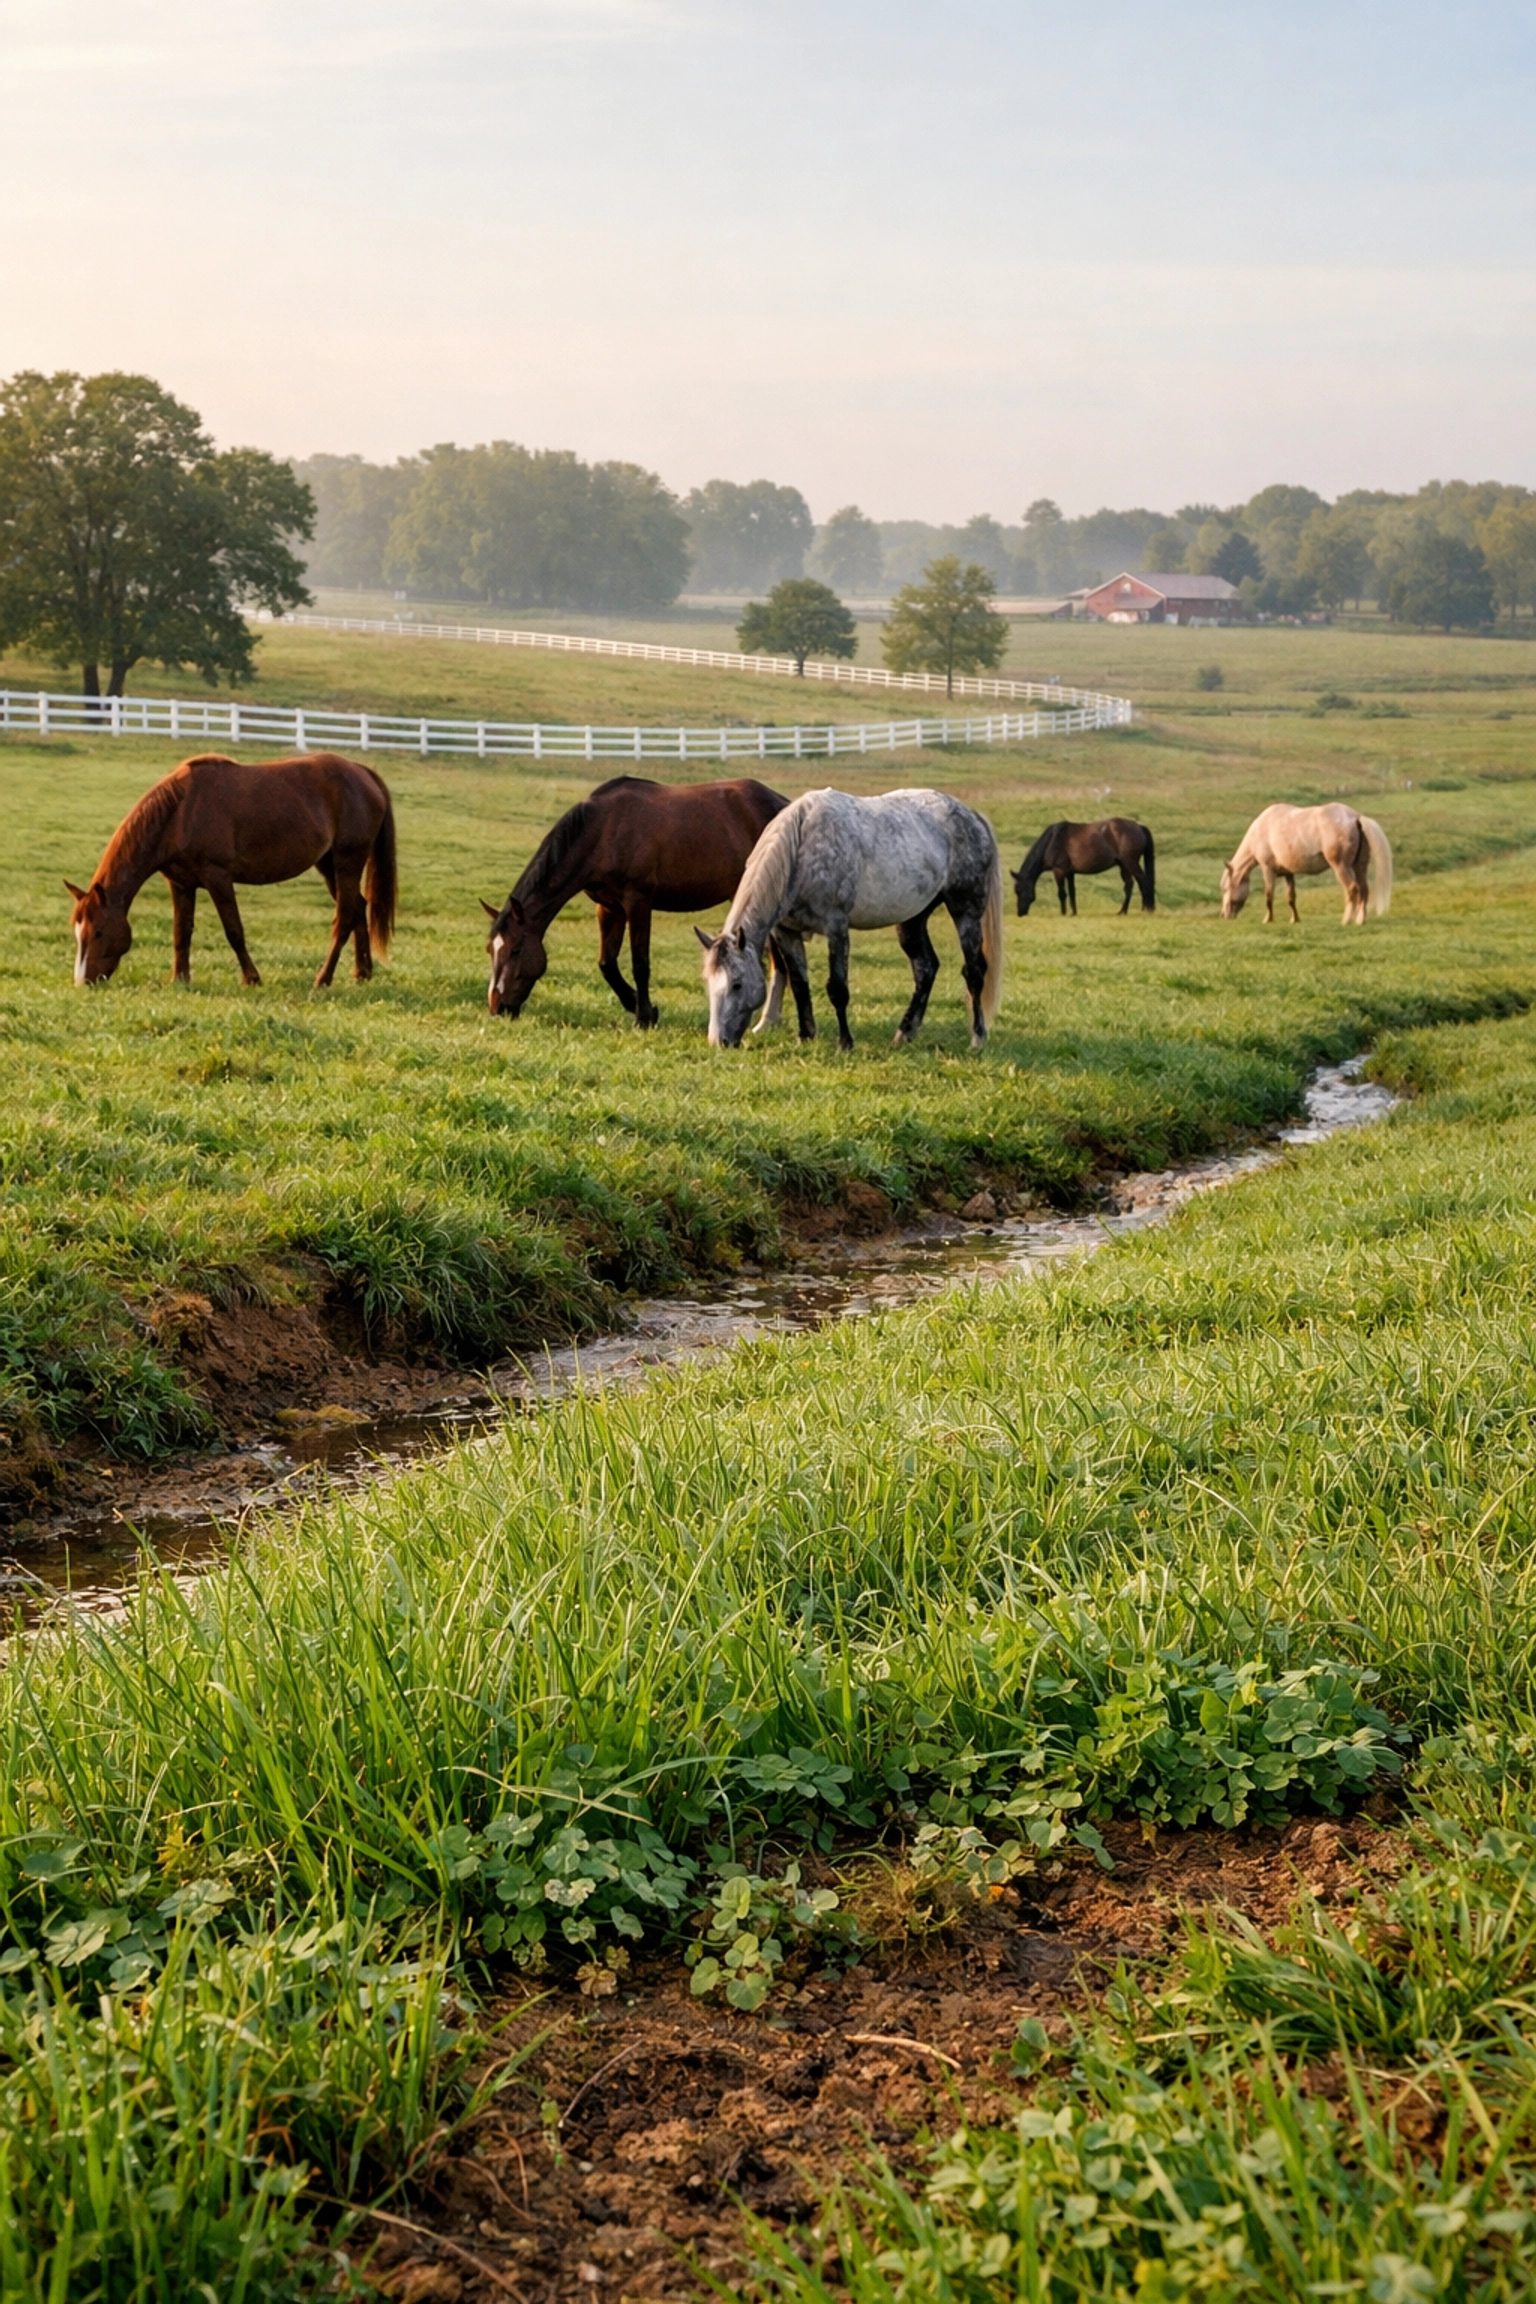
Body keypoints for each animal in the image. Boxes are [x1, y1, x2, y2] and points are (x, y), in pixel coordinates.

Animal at [66, 752, 396, 988]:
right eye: (77, 932)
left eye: (98, 931)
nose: (83, 982)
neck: (180, 812)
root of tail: (363, 773)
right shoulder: (181, 884)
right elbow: (181, 932)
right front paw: (180, 979)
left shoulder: (218, 877)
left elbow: (234, 930)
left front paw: (252, 978)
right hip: (328, 865)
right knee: (358, 908)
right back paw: (362, 973)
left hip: (347, 861)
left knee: (344, 917)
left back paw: (323, 979)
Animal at [482, 775, 790, 1027]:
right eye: (490, 950)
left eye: (515, 950)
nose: (497, 1006)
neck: (603, 831)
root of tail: (784, 802)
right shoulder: (609, 908)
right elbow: (607, 964)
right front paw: (640, 1007)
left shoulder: (638, 903)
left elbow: (640, 964)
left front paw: (643, 1017)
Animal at [696, 786, 1004, 1052]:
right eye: (709, 983)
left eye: (737, 984)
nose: (719, 1041)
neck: (801, 848)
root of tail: (972, 816)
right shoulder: (787, 932)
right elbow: (799, 984)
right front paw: (805, 1036)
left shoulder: (836, 928)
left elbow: (837, 988)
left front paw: (845, 1042)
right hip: (913, 919)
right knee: (925, 968)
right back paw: (904, 1033)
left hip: (966, 912)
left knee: (974, 972)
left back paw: (977, 1037)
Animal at [1014, 817, 1155, 916]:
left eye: (1019, 890)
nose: (1021, 913)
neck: (1052, 840)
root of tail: (1138, 827)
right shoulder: (1070, 873)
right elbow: (1072, 892)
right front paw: (1073, 913)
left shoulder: (1059, 871)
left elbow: (1062, 893)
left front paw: (1063, 913)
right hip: (1124, 865)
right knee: (1130, 885)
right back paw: (1123, 911)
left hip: (1131, 863)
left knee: (1143, 882)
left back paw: (1146, 909)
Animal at [1221, 803, 1393, 926]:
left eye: (1225, 888)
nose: (1224, 915)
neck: (1262, 829)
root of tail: (1355, 817)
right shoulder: (1288, 873)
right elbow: (1291, 897)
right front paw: (1294, 919)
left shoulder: (1267, 869)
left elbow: (1269, 896)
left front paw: (1268, 919)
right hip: (1359, 867)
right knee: (1364, 889)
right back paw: (1360, 920)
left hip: (1341, 867)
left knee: (1352, 889)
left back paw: (1346, 920)